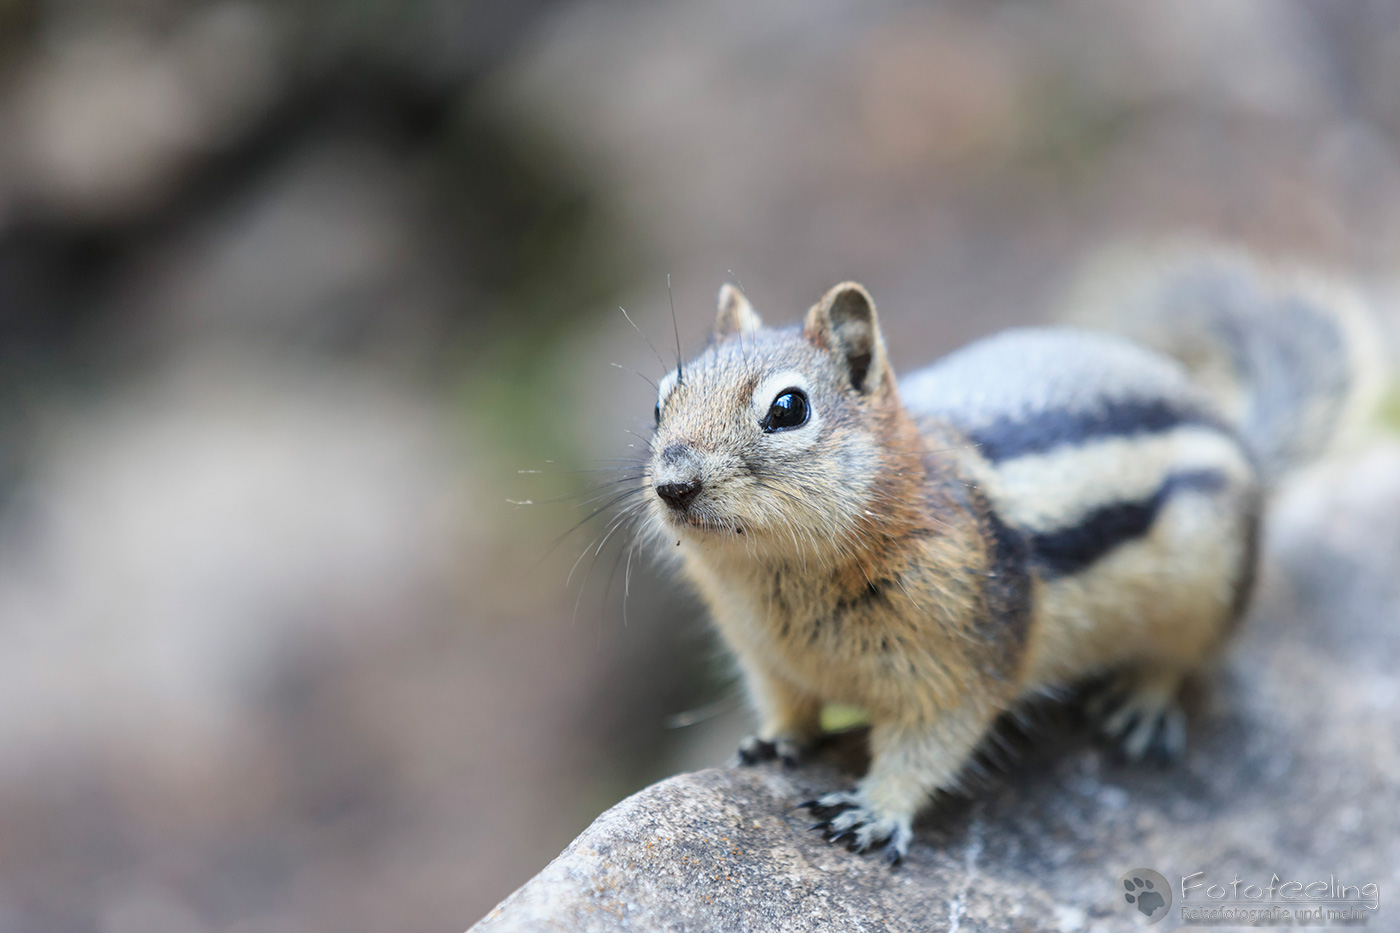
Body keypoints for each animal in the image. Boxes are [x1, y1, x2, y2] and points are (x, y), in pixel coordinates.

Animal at [640, 248, 1383, 865]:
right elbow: (789, 706)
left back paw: (1141, 703)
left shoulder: (957, 669)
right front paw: (776, 739)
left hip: (1206, 589)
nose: (673, 484)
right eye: (661, 399)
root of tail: (1242, 445)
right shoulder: (766, 659)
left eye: (789, 408)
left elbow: (927, 748)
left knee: (1184, 657)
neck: (778, 581)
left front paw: (875, 811)